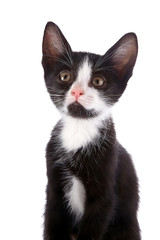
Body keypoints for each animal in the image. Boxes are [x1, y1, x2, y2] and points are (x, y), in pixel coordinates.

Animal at [41, 21, 140, 239]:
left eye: (98, 81)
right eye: (65, 76)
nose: (78, 91)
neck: (79, 130)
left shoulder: (105, 193)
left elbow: (94, 225)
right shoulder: (53, 189)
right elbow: (53, 223)